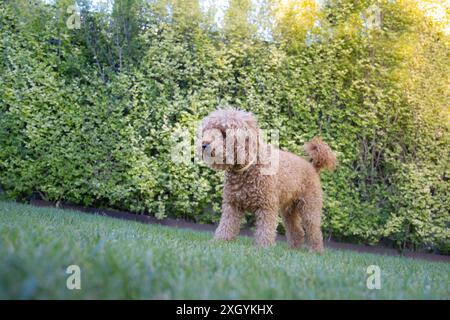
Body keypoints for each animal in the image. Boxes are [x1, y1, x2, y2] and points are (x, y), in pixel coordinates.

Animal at [199, 108, 336, 252]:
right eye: (207, 131)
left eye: (224, 133)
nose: (204, 144)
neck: (249, 167)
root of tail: (312, 167)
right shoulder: (232, 204)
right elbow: (226, 225)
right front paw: (220, 242)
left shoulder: (266, 206)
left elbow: (265, 230)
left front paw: (263, 248)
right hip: (289, 209)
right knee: (297, 230)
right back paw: (293, 249)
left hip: (309, 207)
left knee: (314, 230)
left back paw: (316, 251)